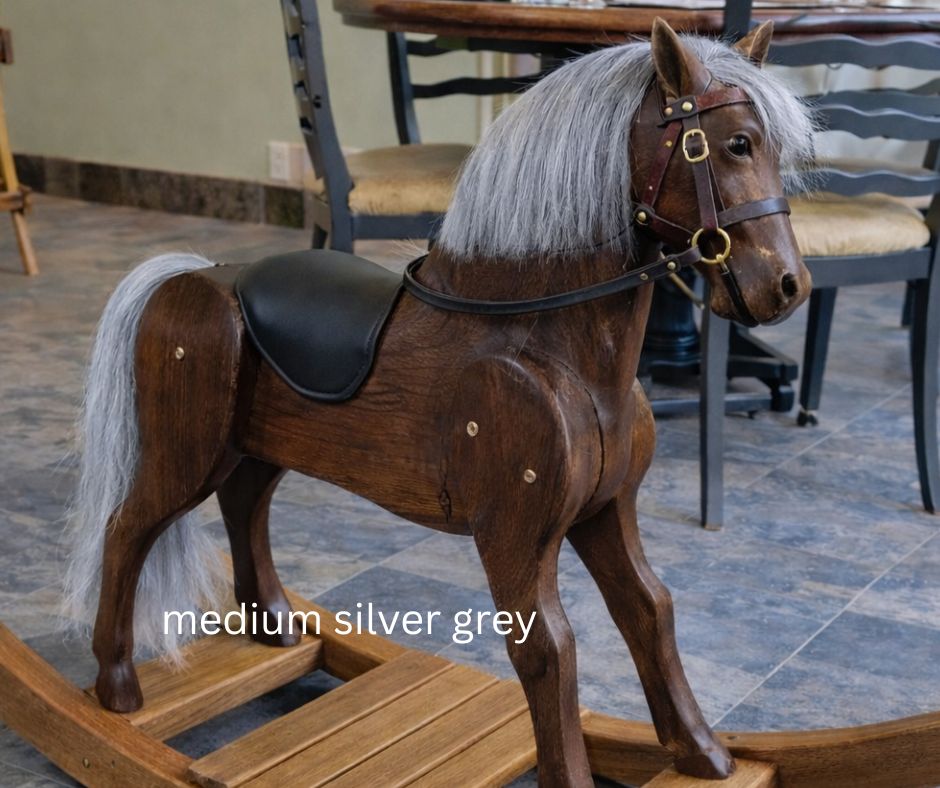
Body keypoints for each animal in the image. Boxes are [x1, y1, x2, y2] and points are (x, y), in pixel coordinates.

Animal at [63, 19, 814, 786]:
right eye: (736, 143)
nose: (787, 286)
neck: (544, 341)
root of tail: (194, 273)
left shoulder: (606, 509)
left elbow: (649, 608)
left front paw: (705, 753)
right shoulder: (513, 533)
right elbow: (548, 649)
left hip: (261, 447)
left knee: (244, 505)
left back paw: (274, 627)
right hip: (186, 451)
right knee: (126, 527)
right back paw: (116, 687)